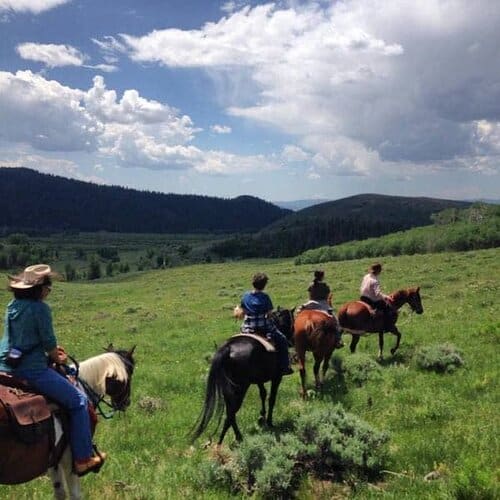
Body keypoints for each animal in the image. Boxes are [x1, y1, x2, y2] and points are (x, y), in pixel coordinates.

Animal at [192, 310, 292, 444]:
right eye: (289, 321)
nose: (291, 341)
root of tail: (228, 348)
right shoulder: (277, 378)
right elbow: (271, 398)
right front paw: (269, 422)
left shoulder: (259, 380)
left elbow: (263, 394)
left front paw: (261, 417)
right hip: (240, 388)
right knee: (231, 412)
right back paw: (232, 437)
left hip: (228, 389)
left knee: (230, 411)